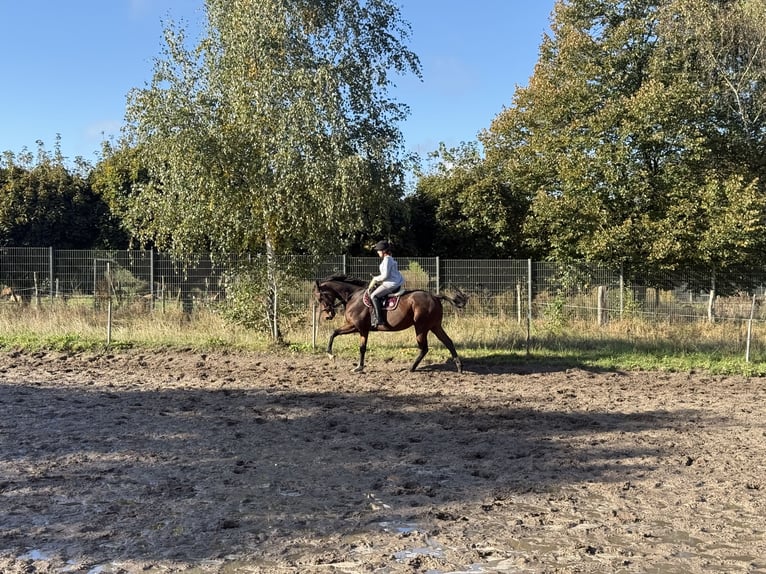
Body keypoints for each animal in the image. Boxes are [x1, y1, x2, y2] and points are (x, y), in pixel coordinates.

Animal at [312, 276, 468, 376]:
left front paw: (331, 355)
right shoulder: (362, 330)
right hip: (434, 326)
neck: (353, 297)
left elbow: (334, 333)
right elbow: (361, 347)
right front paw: (359, 367)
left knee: (424, 348)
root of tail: (435, 296)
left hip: (421, 328)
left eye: (320, 297)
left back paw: (411, 368)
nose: (328, 315)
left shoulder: (356, 327)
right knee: (448, 342)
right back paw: (459, 367)